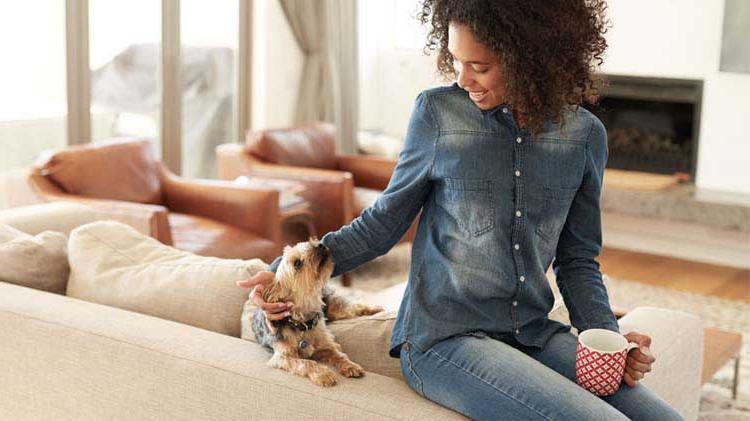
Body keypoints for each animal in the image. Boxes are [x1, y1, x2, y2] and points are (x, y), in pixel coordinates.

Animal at [241, 238, 384, 386]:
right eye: (297, 263)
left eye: (307, 243)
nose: (320, 244)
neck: (303, 322)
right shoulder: (282, 357)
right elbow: (306, 363)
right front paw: (323, 374)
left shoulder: (327, 344)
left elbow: (339, 354)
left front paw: (350, 366)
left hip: (334, 307)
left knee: (352, 307)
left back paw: (374, 308)